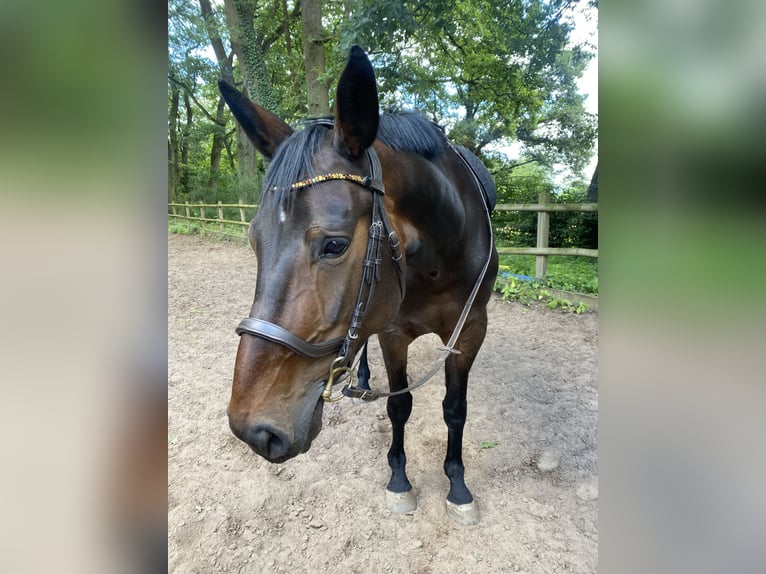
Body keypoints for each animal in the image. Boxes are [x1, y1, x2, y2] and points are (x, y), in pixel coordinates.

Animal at [219, 46, 498, 525]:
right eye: (254, 240)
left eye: (334, 245)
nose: (251, 429)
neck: (440, 257)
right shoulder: (392, 331)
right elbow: (399, 405)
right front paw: (400, 481)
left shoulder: (470, 332)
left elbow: (455, 410)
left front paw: (458, 486)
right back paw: (362, 379)